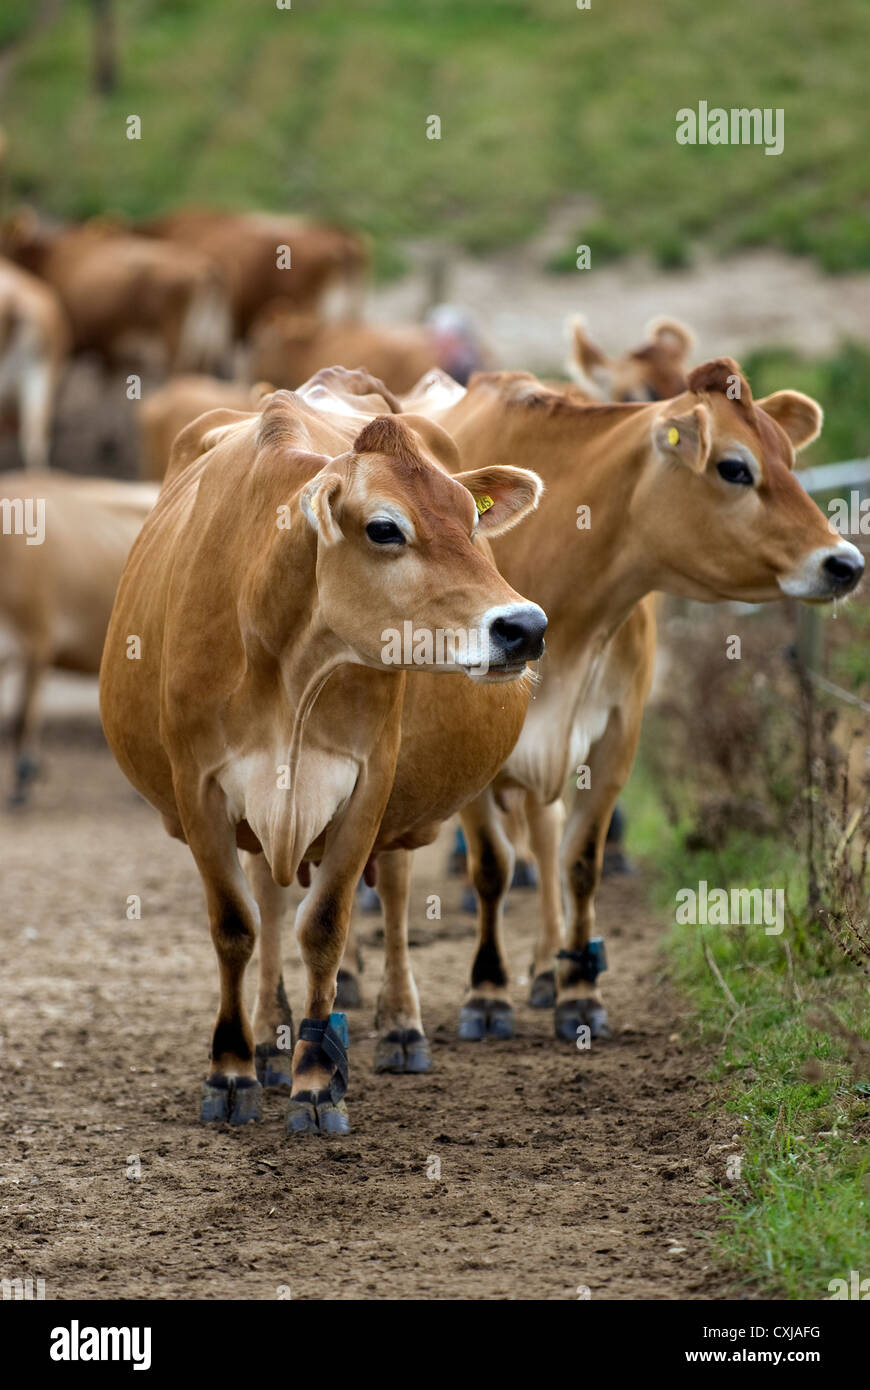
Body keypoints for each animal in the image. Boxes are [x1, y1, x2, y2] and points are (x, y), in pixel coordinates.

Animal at [97, 372, 539, 1139]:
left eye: (470, 517)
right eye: (385, 527)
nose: (526, 626)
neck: (285, 654)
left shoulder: (369, 782)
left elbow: (328, 925)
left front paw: (315, 1083)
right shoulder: (199, 786)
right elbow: (236, 926)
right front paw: (233, 1069)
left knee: (392, 892)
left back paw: (398, 1028)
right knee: (270, 900)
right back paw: (270, 1038)